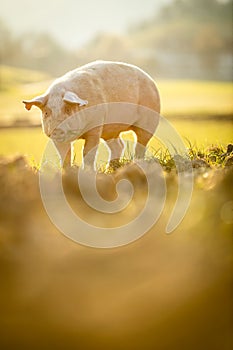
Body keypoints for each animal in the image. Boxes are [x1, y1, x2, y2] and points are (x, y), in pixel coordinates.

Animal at [23, 60, 160, 167]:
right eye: (46, 112)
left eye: (67, 110)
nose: (56, 129)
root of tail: (152, 81)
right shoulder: (56, 138)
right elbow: (65, 154)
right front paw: (67, 171)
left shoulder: (96, 125)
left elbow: (88, 152)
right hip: (110, 130)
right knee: (119, 145)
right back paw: (110, 168)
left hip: (150, 119)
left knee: (141, 143)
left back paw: (136, 164)